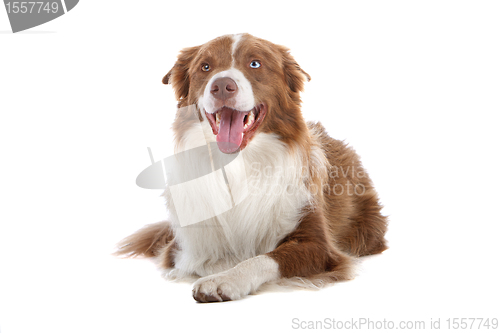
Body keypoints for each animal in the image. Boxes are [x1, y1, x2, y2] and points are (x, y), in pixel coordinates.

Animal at [115, 33, 388, 300]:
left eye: (255, 64)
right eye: (205, 66)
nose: (221, 86)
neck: (239, 163)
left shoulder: (319, 245)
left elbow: (263, 258)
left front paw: (225, 279)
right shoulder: (181, 249)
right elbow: (211, 259)